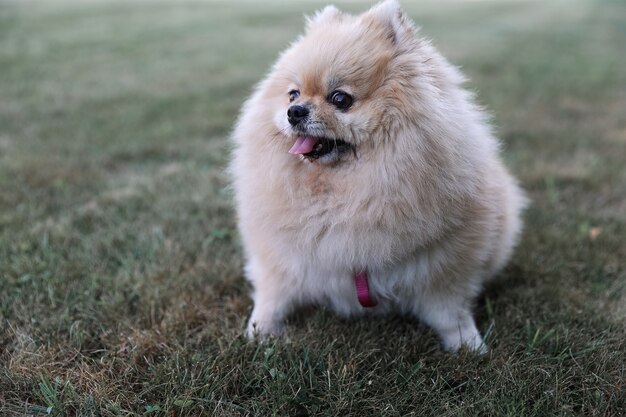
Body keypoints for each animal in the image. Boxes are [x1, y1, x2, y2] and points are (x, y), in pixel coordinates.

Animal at [229, 0, 520, 352]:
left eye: (340, 99)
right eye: (293, 94)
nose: (294, 112)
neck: (345, 191)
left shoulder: (444, 267)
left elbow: (451, 312)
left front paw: (468, 347)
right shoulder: (281, 261)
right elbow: (273, 299)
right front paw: (259, 333)